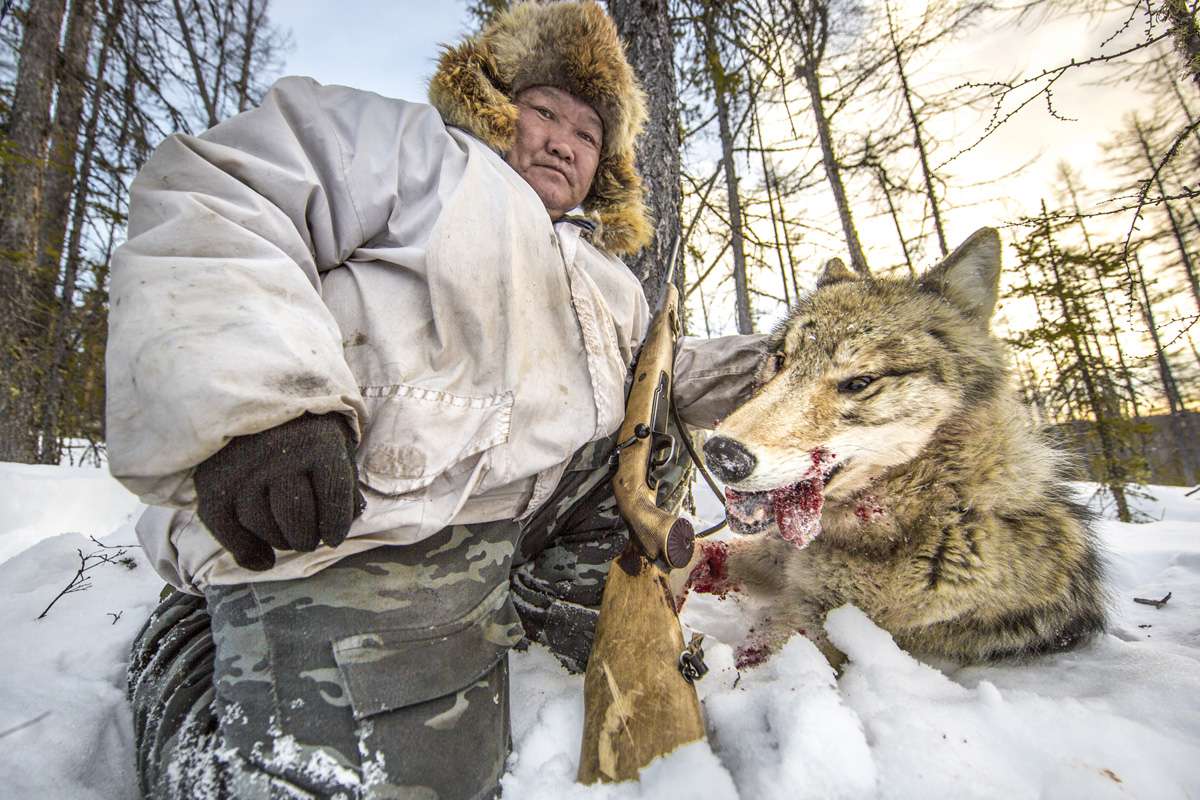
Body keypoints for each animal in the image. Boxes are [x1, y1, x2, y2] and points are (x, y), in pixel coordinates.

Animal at [686, 226, 1104, 671]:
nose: (721, 455)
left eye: (859, 382)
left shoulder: (817, 626)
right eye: (780, 361)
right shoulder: (776, 559)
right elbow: (707, 553)